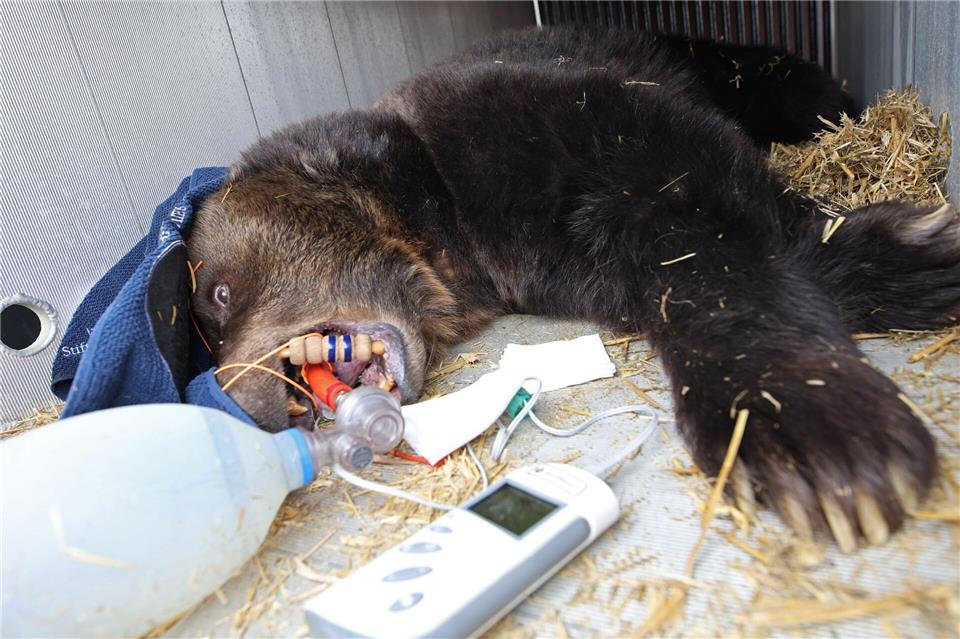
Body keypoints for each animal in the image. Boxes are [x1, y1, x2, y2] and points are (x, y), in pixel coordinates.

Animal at [187, 27, 958, 552]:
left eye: (219, 294)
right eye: (211, 315)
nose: (243, 396)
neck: (444, 225)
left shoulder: (547, 118)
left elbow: (709, 209)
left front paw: (811, 435)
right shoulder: (540, 256)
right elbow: (663, 262)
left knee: (802, 94)